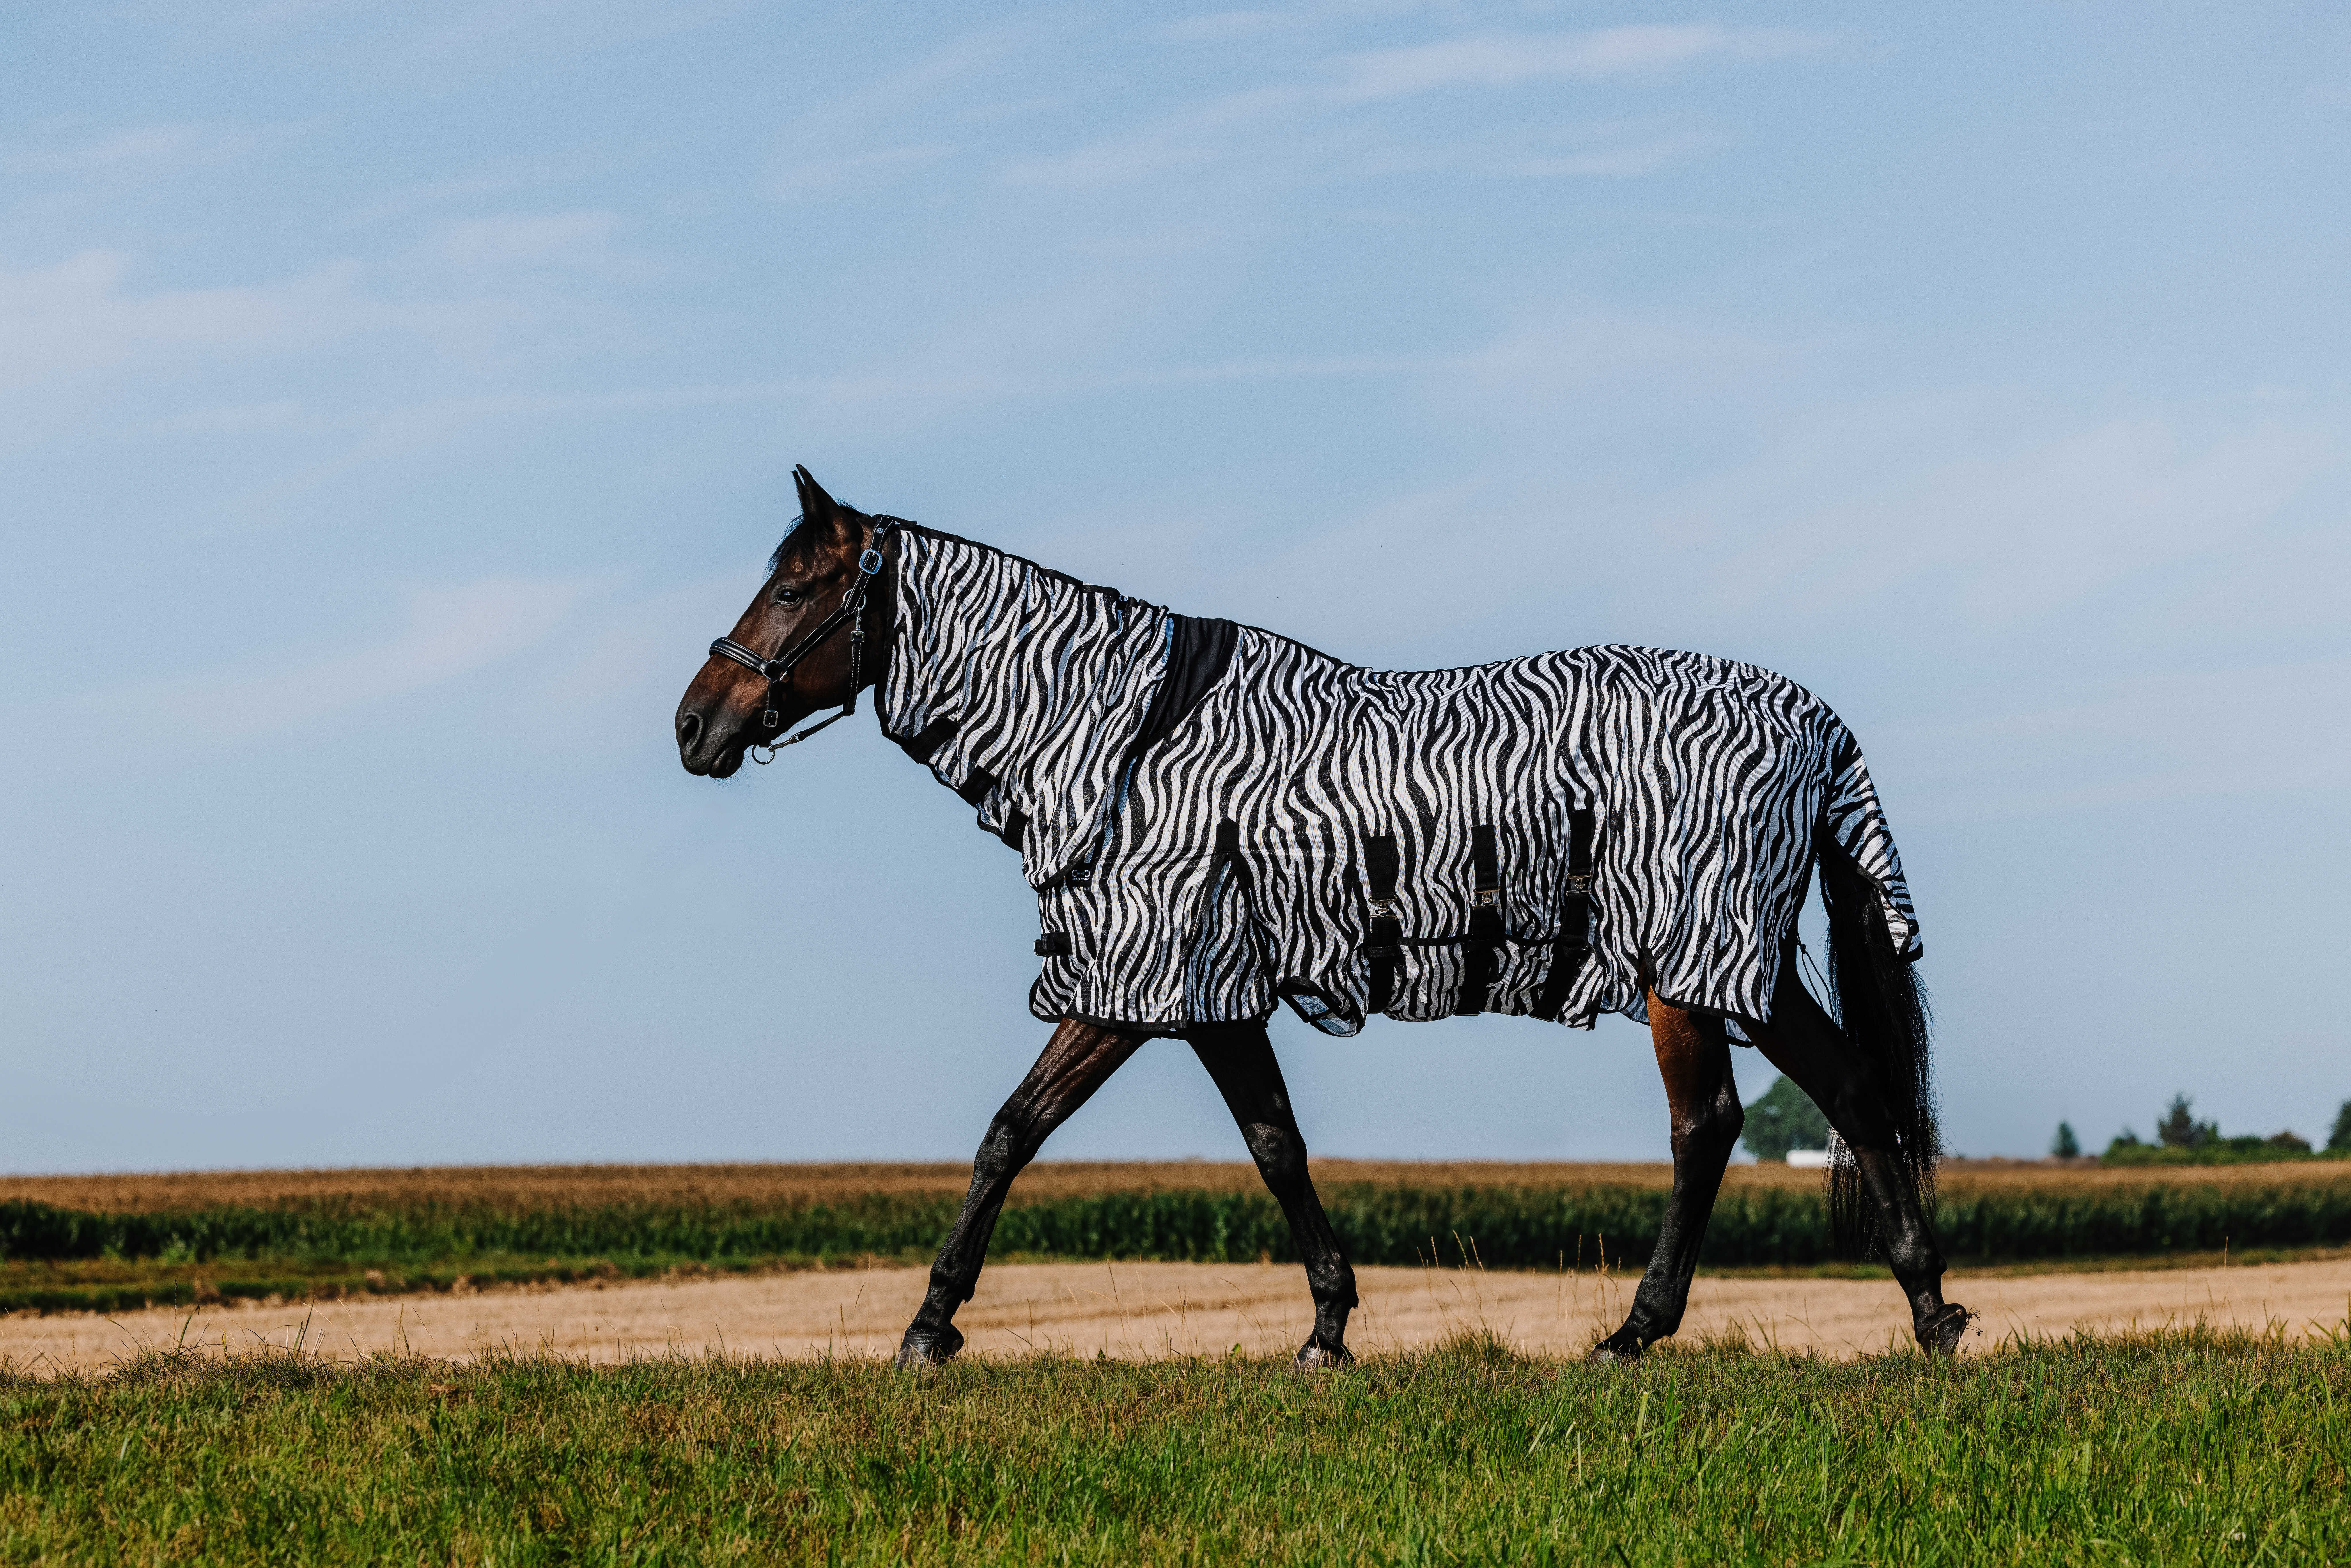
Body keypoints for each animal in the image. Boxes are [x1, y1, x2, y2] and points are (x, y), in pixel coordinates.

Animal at [676, 467, 1969, 1366]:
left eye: (791, 589)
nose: (694, 725)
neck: (1128, 740)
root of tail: (1810, 718)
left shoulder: (1150, 978)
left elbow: (1029, 1133)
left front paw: (928, 1325)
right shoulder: (1197, 991)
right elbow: (1254, 1141)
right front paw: (1328, 1326)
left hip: (1691, 963)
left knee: (1715, 1125)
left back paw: (1650, 1331)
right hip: (1737, 962)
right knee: (1846, 1095)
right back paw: (1923, 1306)